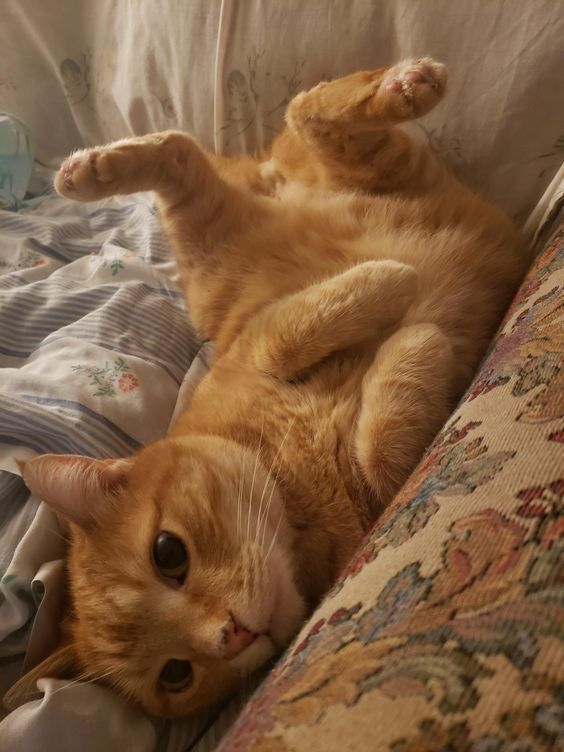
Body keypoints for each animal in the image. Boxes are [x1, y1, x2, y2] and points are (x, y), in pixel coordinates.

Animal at [6, 58, 528, 716]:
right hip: (215, 250)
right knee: (195, 152)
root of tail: (267, 182)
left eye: (169, 555)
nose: (231, 635)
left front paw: (391, 286)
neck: (289, 485)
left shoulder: (258, 345)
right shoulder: (380, 492)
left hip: (240, 240)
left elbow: (303, 328)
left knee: (289, 117)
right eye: (176, 674)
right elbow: (384, 449)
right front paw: (415, 340)